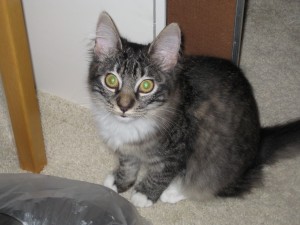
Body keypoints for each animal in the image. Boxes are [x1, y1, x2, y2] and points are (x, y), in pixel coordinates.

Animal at [88, 11, 300, 207]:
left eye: (147, 85)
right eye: (111, 80)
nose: (123, 106)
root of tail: (259, 143)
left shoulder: (177, 152)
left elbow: (161, 173)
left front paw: (145, 194)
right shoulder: (127, 150)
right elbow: (128, 164)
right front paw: (120, 182)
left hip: (216, 160)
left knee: (209, 184)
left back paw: (173, 193)